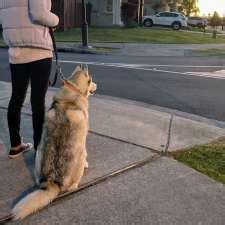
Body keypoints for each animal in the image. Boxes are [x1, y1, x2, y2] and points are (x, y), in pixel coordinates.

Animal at [11, 63, 96, 220]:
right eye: (91, 79)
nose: (97, 85)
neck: (72, 93)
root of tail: (52, 181)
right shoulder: (83, 140)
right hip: (79, 158)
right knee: (74, 182)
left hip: (39, 152)